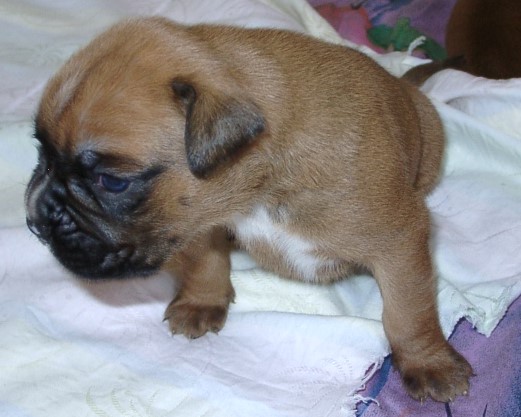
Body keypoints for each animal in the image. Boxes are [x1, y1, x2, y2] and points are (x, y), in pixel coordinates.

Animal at [25, 17, 472, 402]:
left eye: (112, 182)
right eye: (42, 155)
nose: (36, 222)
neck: (258, 188)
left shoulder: (400, 241)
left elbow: (408, 310)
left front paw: (428, 363)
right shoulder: (197, 218)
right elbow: (205, 263)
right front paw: (202, 301)